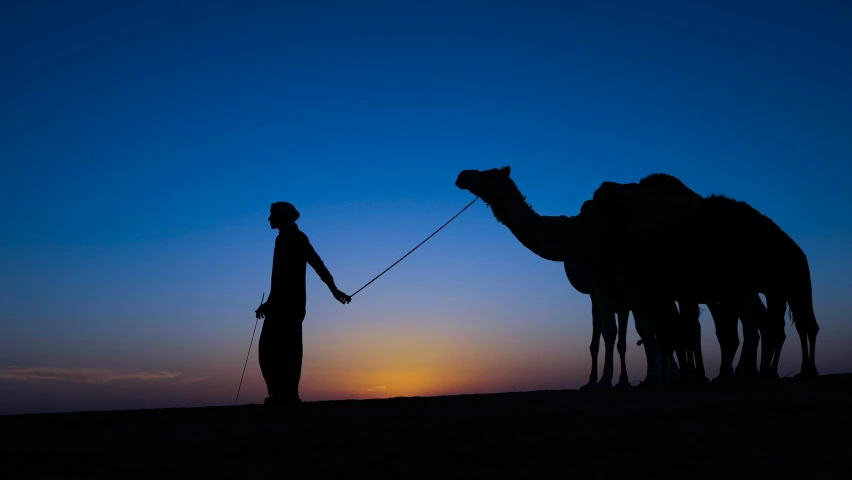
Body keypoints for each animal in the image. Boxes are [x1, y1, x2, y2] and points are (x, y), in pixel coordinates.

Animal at [456, 167, 684, 388]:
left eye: (488, 174)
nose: (462, 175)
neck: (583, 233)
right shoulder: (602, 281)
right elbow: (610, 332)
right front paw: (604, 381)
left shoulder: (630, 277)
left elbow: (643, 327)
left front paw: (650, 378)